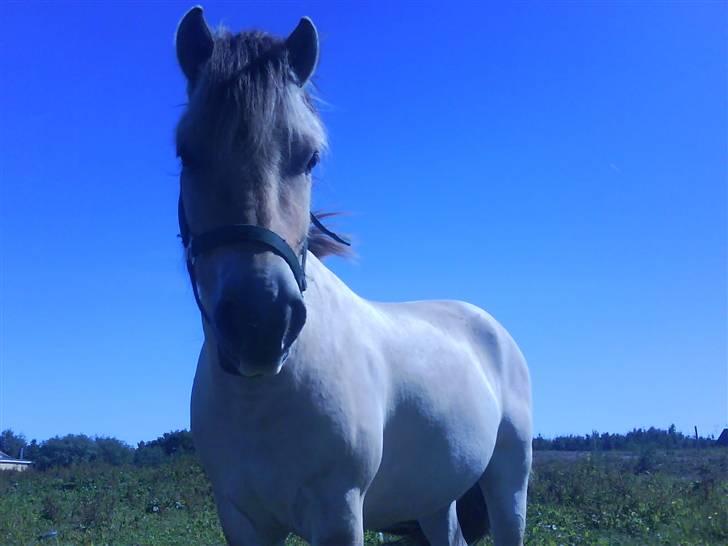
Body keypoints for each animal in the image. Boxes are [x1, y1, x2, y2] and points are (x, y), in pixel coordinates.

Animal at [174, 7, 532, 544]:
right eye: (186, 152)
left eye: (310, 157)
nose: (260, 323)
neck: (261, 400)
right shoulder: (241, 518)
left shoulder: (339, 513)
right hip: (434, 497)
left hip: (509, 482)